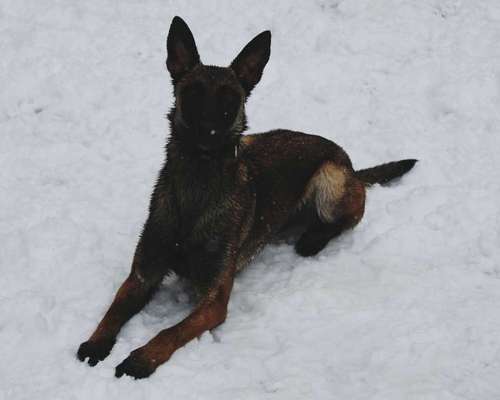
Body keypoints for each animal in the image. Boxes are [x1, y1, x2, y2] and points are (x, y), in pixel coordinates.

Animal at [76, 15, 416, 378]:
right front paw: (96, 342)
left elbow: (172, 330)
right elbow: (114, 310)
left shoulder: (214, 300)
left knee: (353, 213)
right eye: (193, 93)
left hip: (330, 180)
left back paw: (312, 239)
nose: (208, 132)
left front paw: (142, 358)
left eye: (230, 99)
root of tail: (352, 167)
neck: (197, 184)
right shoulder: (142, 275)